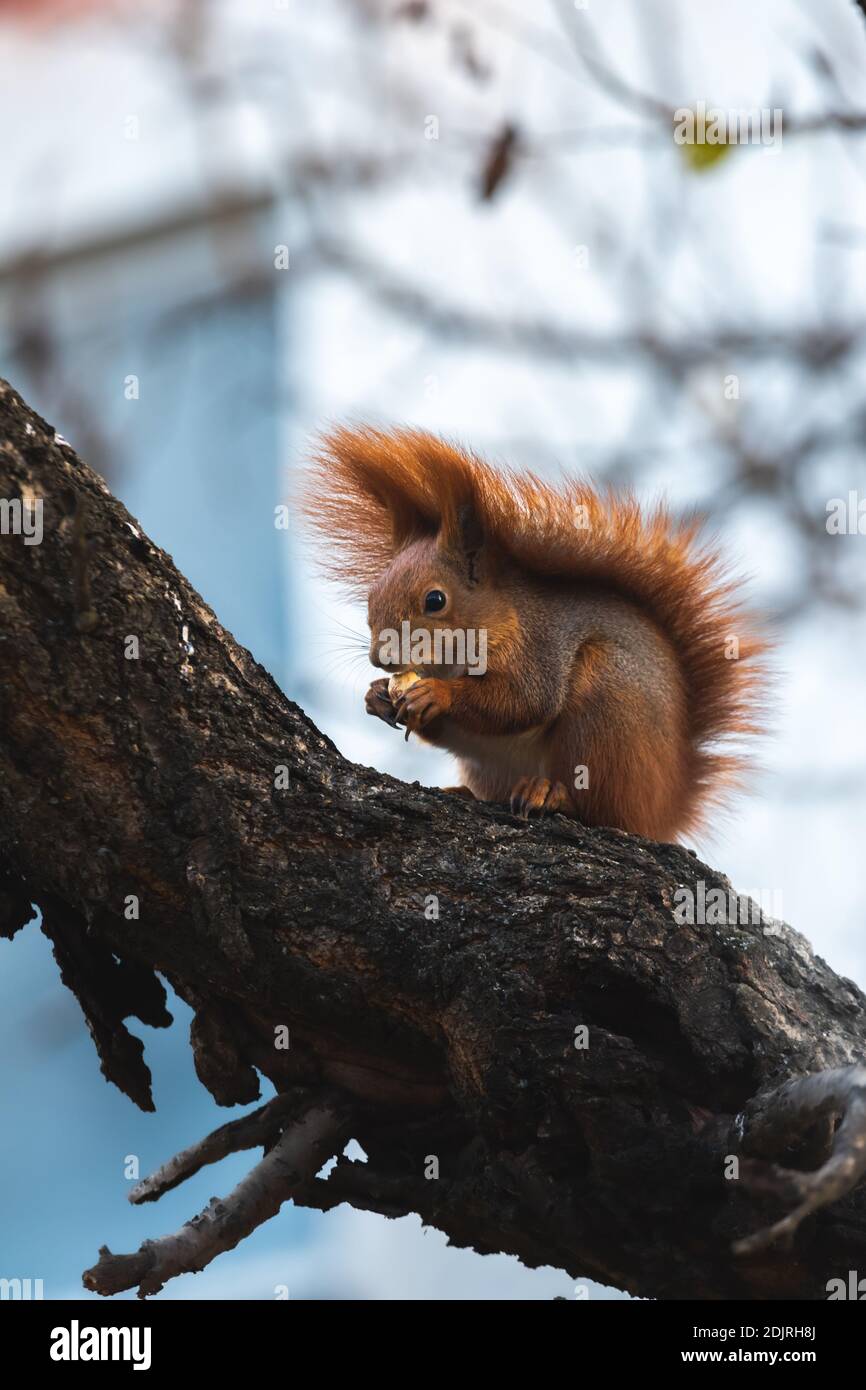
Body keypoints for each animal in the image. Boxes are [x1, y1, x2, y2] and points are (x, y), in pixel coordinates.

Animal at [302, 426, 769, 842]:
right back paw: (466, 791)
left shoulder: (540, 648)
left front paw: (436, 694)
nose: (381, 659)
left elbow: (523, 701)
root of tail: (666, 809)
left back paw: (552, 794)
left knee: (603, 810)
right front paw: (376, 695)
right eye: (371, 596)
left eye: (436, 600)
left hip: (609, 709)